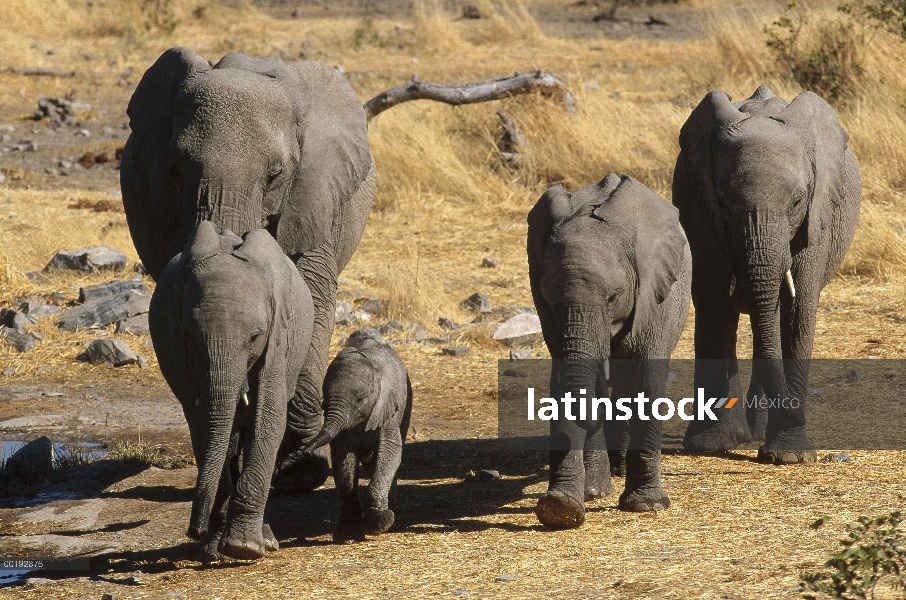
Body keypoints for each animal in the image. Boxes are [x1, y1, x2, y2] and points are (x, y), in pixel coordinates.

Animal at [149, 221, 314, 564]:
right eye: (190, 336)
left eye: (255, 336)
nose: (193, 530)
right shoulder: (180, 352)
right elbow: (201, 422)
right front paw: (215, 550)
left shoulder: (279, 339)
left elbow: (268, 417)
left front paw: (244, 547)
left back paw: (265, 539)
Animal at [302, 332, 412, 544]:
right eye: (324, 400)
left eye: (360, 399)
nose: (306, 451)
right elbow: (343, 461)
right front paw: (348, 537)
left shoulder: (388, 409)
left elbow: (390, 453)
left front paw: (380, 524)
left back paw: (391, 512)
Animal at [528, 173, 688, 528]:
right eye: (548, 298)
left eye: (613, 297)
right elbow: (564, 379)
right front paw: (562, 509)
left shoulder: (655, 297)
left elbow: (647, 379)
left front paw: (647, 506)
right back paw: (597, 488)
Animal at [672, 84, 860, 462]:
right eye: (723, 202)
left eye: (797, 202)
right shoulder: (701, 213)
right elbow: (714, 303)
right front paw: (709, 446)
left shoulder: (817, 218)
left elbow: (796, 311)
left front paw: (790, 456)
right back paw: (737, 435)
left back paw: (756, 433)